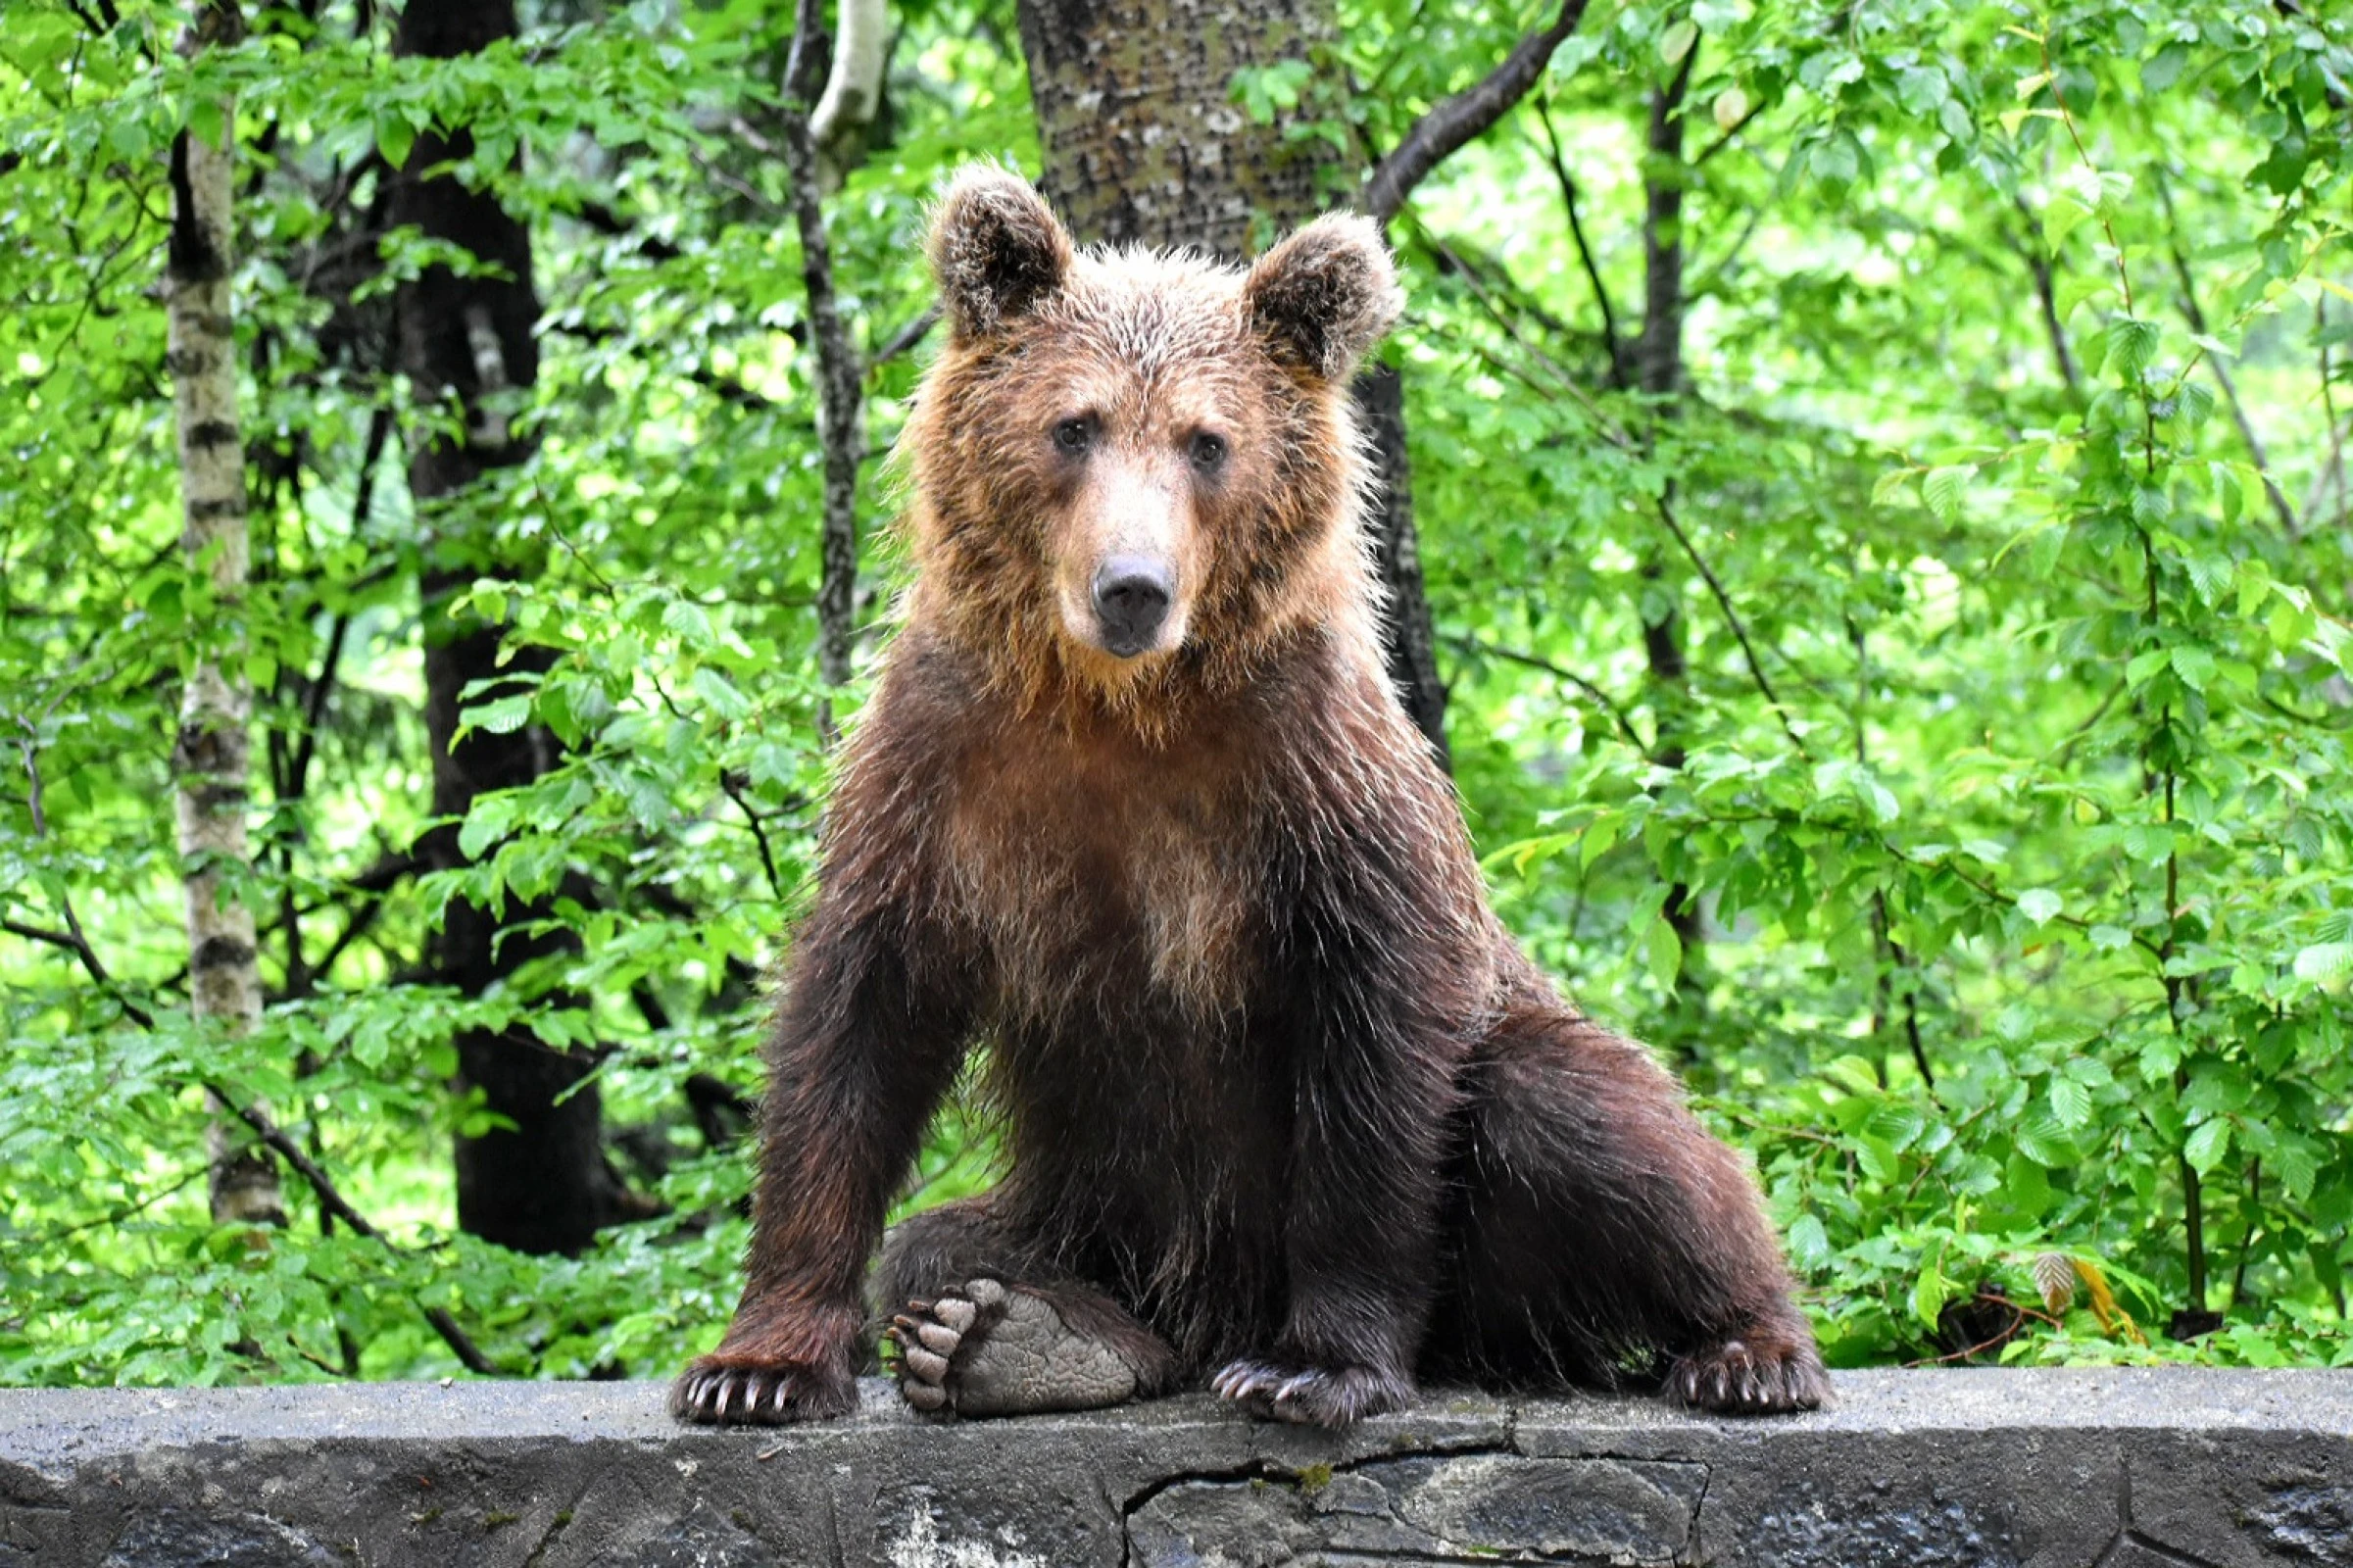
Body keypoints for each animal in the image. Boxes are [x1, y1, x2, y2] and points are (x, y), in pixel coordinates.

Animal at [670, 166, 1829, 1429]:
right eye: (1074, 423)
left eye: (1206, 441)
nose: (1131, 586)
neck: (1117, 704)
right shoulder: (940, 763)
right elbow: (858, 1021)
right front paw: (760, 1362)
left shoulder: (1312, 777)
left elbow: (1373, 1043)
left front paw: (1315, 1364)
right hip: (1086, 1197)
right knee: (942, 1245)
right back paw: (1015, 1333)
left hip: (1492, 1187)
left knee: (1592, 1119)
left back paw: (1748, 1344)